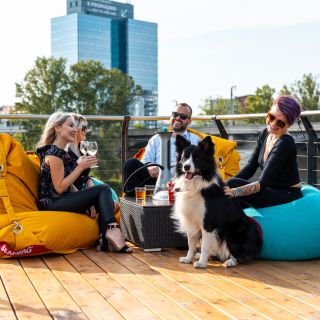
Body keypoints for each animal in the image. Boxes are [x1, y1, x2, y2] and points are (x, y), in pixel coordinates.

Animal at [171, 135, 262, 268]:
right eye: (184, 158)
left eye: (197, 159)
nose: (186, 167)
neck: (196, 184)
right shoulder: (191, 220)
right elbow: (191, 243)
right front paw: (188, 259)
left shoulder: (208, 223)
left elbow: (204, 245)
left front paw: (201, 263)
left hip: (234, 230)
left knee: (236, 255)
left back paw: (230, 261)